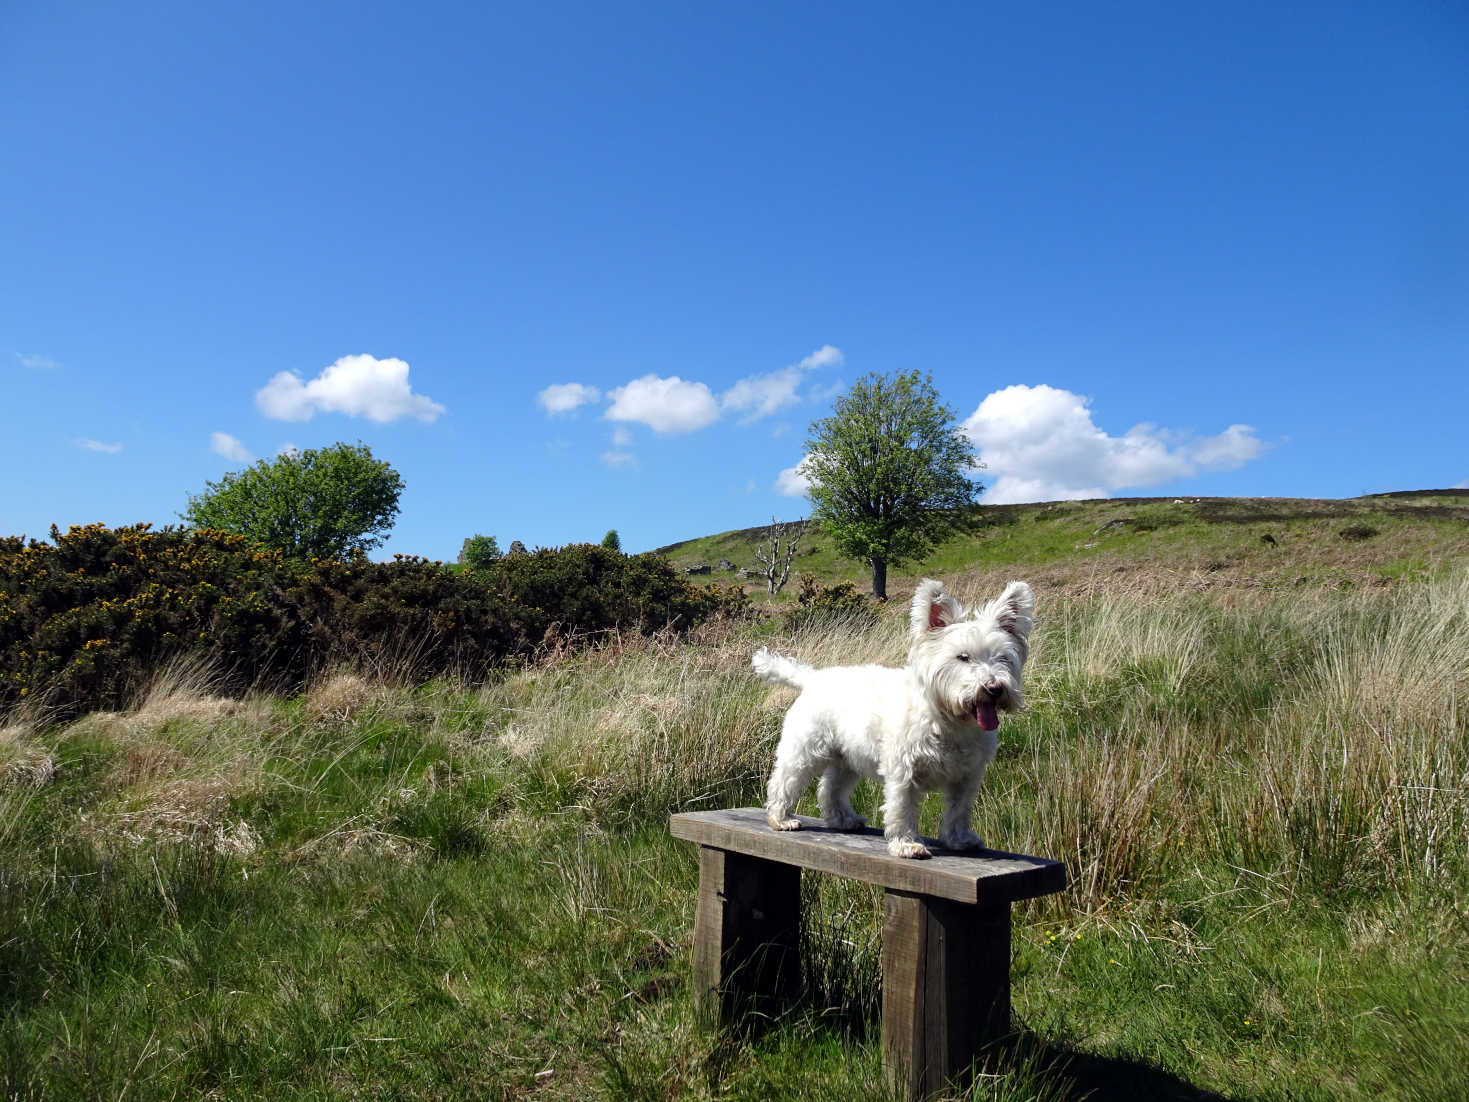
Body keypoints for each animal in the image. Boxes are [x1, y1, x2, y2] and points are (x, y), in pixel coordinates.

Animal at [752, 578, 1040, 863]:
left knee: (829, 789)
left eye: (1004, 658)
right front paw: (907, 845)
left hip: (848, 758)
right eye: (963, 657)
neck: (948, 720)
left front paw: (960, 840)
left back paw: (844, 819)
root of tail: (812, 678)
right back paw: (781, 819)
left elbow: (958, 811)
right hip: (804, 751)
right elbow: (902, 809)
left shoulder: (967, 777)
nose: (994, 688)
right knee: (783, 782)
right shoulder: (904, 771)